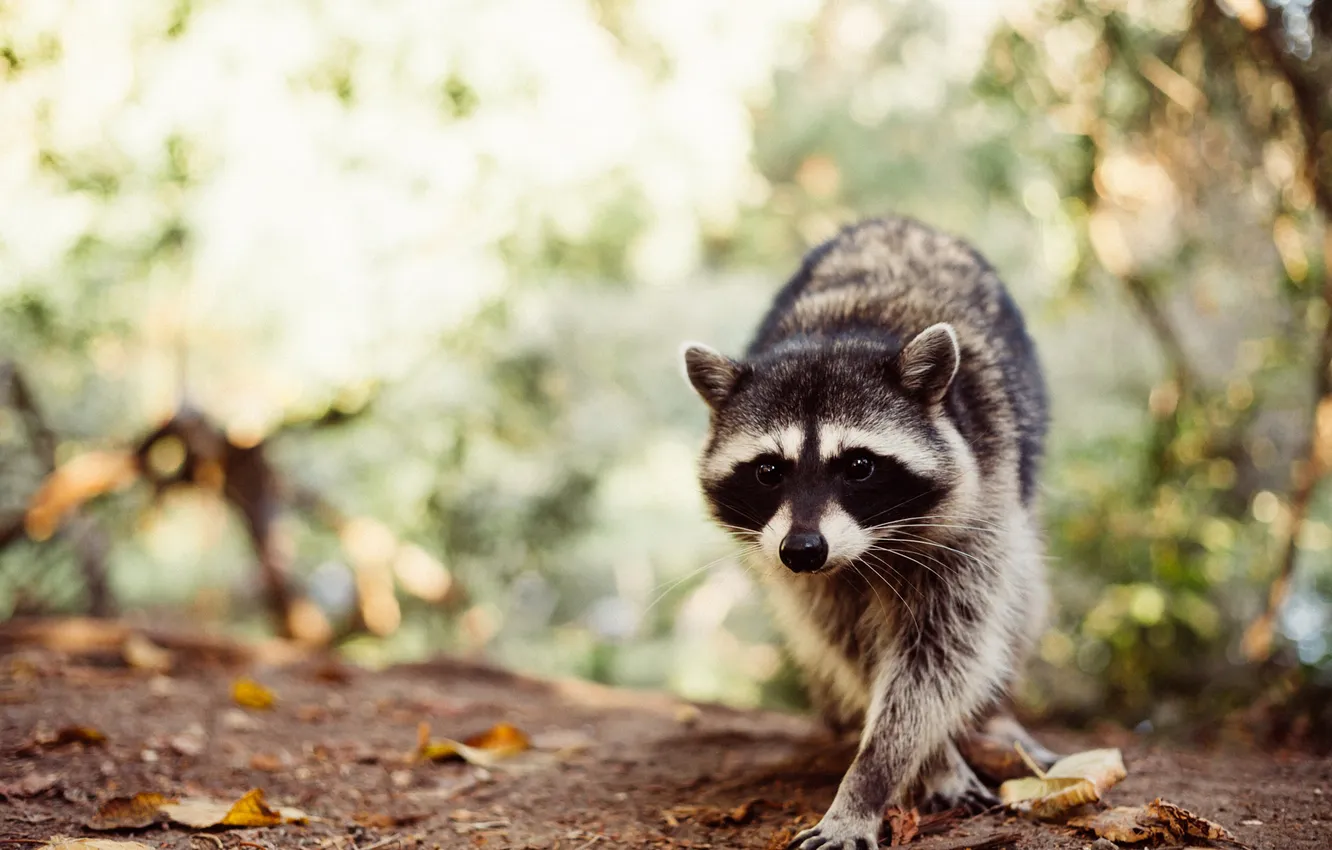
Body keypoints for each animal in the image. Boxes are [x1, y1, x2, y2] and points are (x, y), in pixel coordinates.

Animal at [681, 217, 1052, 849]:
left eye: (858, 467)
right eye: (767, 471)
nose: (804, 550)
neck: (839, 335)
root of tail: (902, 221)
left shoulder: (977, 511)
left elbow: (939, 654)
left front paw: (875, 773)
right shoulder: (806, 576)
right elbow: (853, 648)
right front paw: (932, 761)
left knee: (1020, 599)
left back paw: (998, 713)